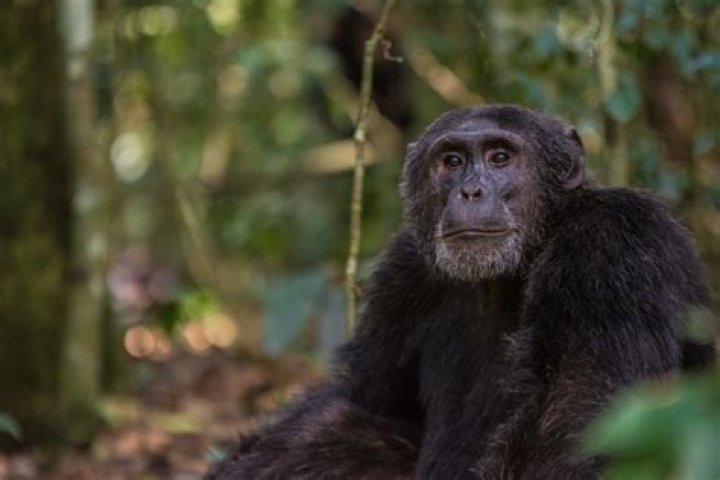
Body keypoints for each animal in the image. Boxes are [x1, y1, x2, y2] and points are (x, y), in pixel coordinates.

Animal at [207, 105, 714, 479]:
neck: (508, 274)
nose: (470, 190)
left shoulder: (612, 247)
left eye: (500, 158)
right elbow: (365, 397)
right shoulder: (403, 274)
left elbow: (571, 425)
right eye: (451, 161)